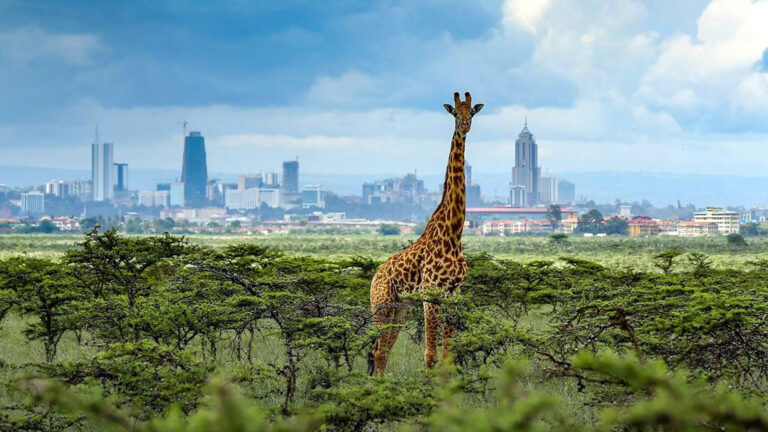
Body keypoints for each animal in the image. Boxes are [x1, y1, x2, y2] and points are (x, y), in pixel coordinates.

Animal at [369, 91, 484, 376]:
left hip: (402, 308)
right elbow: (430, 355)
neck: (453, 233)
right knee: (377, 350)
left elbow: (447, 355)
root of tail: (374, 277)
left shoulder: (453, 294)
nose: (465, 126)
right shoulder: (430, 294)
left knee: (384, 350)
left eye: (472, 112)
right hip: (382, 305)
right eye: (455, 112)